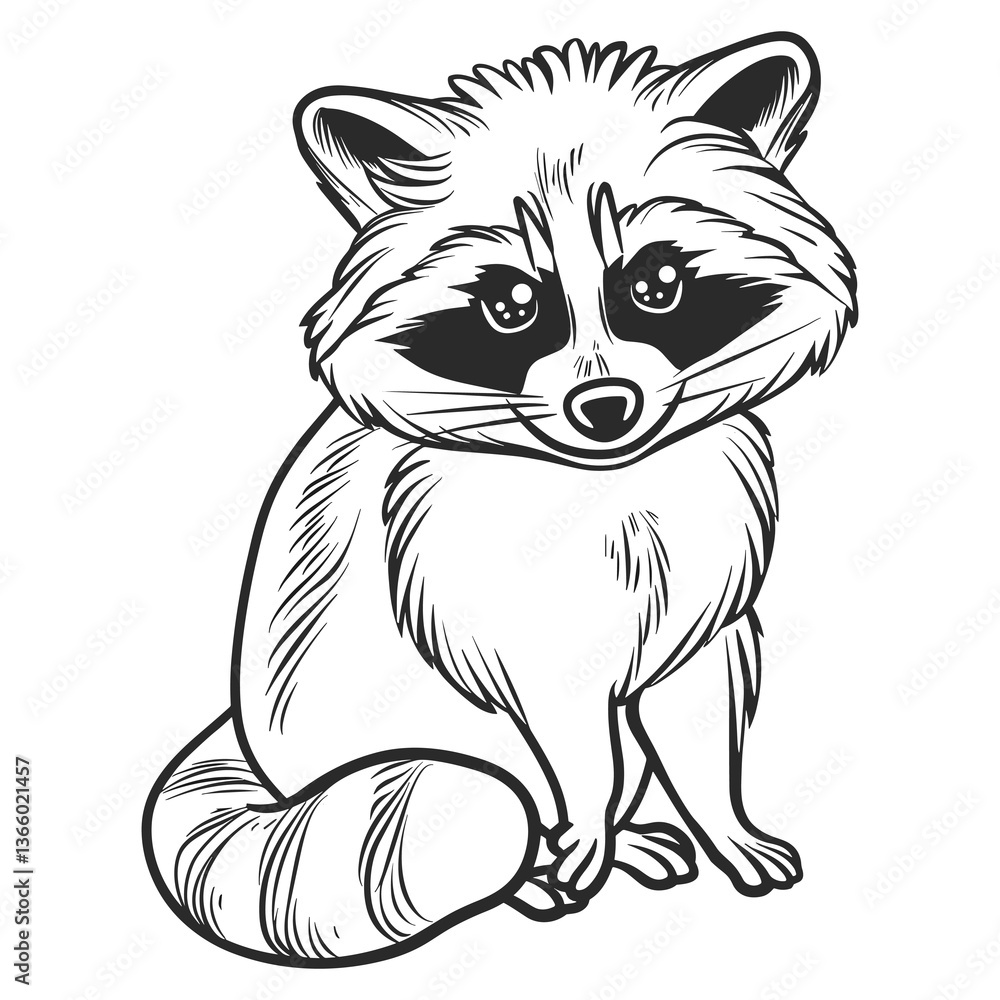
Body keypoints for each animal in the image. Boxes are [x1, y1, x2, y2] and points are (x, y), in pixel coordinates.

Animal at [144, 34, 857, 966]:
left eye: (657, 285)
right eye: (513, 304)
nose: (606, 407)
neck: (605, 480)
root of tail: (257, 753)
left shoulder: (708, 588)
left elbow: (698, 717)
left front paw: (725, 826)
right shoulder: (493, 606)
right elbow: (571, 742)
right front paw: (584, 832)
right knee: (523, 779)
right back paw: (544, 867)